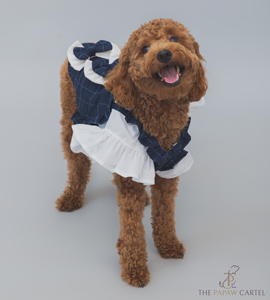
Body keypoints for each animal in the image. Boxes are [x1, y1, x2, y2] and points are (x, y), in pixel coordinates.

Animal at [54, 18, 207, 288]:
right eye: (144, 49)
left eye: (174, 39)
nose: (164, 53)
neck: (160, 113)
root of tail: (89, 44)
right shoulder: (127, 159)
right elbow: (132, 228)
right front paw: (134, 269)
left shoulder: (170, 165)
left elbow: (165, 213)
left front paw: (167, 245)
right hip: (70, 120)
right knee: (77, 163)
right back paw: (71, 197)